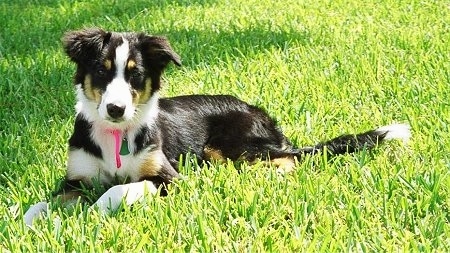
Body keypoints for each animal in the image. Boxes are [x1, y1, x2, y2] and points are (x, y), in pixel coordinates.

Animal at [22, 28, 412, 225]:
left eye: (135, 75)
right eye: (101, 72)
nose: (116, 109)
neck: (116, 136)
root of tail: (257, 111)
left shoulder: (169, 178)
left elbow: (120, 189)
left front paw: (96, 211)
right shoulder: (75, 179)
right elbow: (43, 203)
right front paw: (27, 220)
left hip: (232, 145)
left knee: (289, 159)